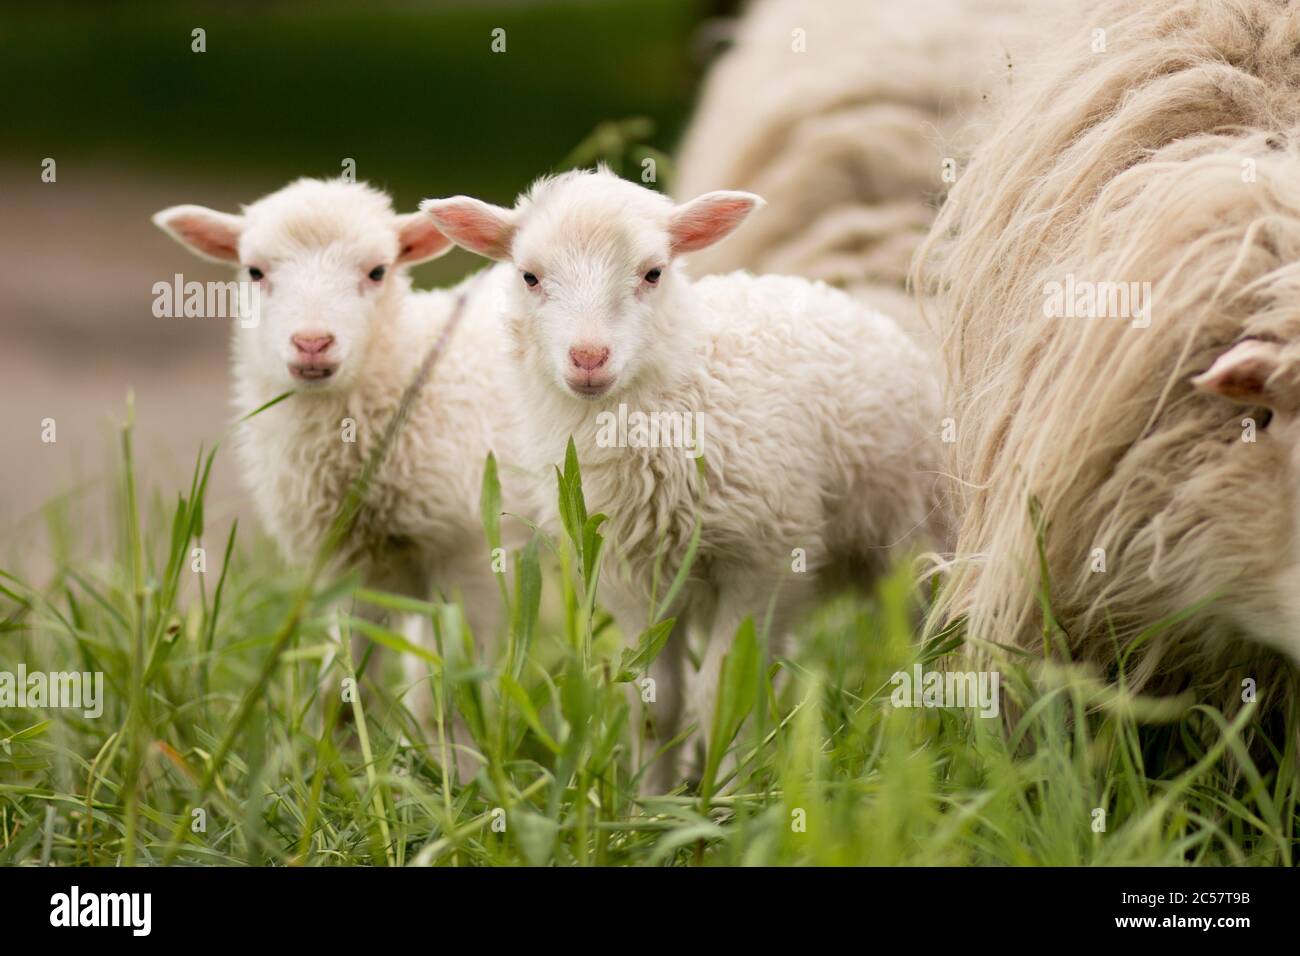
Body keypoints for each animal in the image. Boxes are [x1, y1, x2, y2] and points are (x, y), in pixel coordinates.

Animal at [153, 178, 523, 747]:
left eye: (377, 271)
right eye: (254, 271)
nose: (312, 343)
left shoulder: (471, 555)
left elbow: (453, 692)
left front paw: (454, 762)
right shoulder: (349, 563)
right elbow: (345, 689)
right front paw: (342, 757)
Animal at [423, 168, 947, 787]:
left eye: (653, 272)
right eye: (529, 276)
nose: (589, 357)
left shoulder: (766, 559)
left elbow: (725, 692)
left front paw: (726, 796)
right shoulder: (630, 574)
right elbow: (654, 701)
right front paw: (650, 796)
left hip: (912, 540)